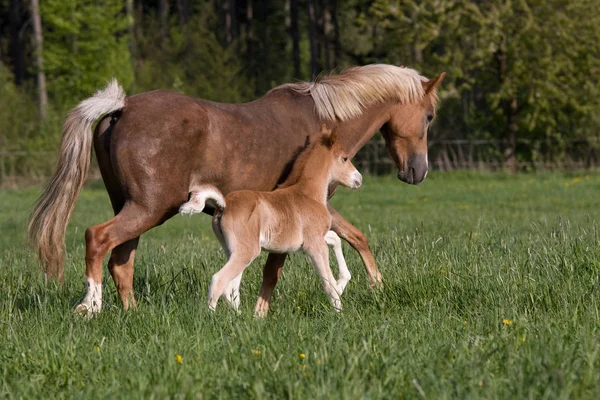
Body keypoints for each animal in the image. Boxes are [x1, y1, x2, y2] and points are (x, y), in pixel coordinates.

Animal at [180, 126, 360, 316]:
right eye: (344, 158)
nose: (359, 179)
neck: (307, 194)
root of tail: (224, 204)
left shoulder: (313, 239)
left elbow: (335, 239)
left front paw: (342, 283)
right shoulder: (314, 245)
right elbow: (327, 281)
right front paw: (339, 312)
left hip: (232, 250)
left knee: (231, 287)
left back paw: (239, 317)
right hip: (247, 251)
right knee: (219, 280)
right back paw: (212, 317)